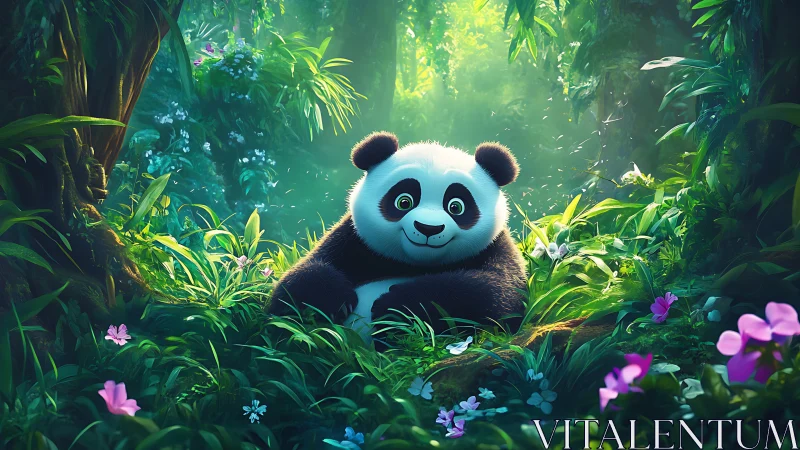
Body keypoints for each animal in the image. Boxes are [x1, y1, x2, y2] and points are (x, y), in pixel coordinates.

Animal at [269, 132, 527, 341]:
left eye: (456, 207)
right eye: (404, 201)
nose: (428, 228)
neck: (414, 263)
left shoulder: (496, 245)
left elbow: (496, 295)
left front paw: (395, 307)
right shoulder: (353, 239)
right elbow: (297, 281)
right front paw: (334, 298)